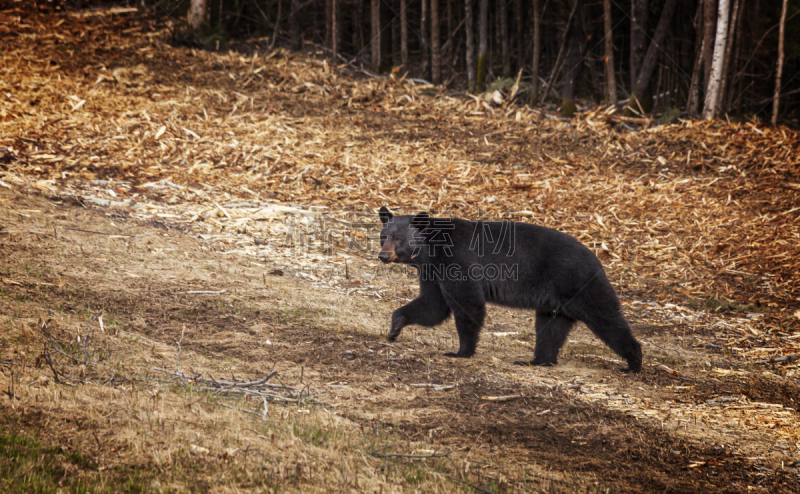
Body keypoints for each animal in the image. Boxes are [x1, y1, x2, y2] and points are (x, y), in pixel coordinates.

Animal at [376, 206, 644, 372]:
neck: (432, 250)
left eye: (398, 238)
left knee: (606, 318)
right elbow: (432, 306)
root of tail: (598, 260)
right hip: (555, 301)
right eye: (384, 235)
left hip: (578, 283)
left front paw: (461, 351)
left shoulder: (457, 262)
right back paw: (538, 361)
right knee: (551, 329)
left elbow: (468, 304)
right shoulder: (433, 271)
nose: (383, 255)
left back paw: (633, 361)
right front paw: (394, 329)